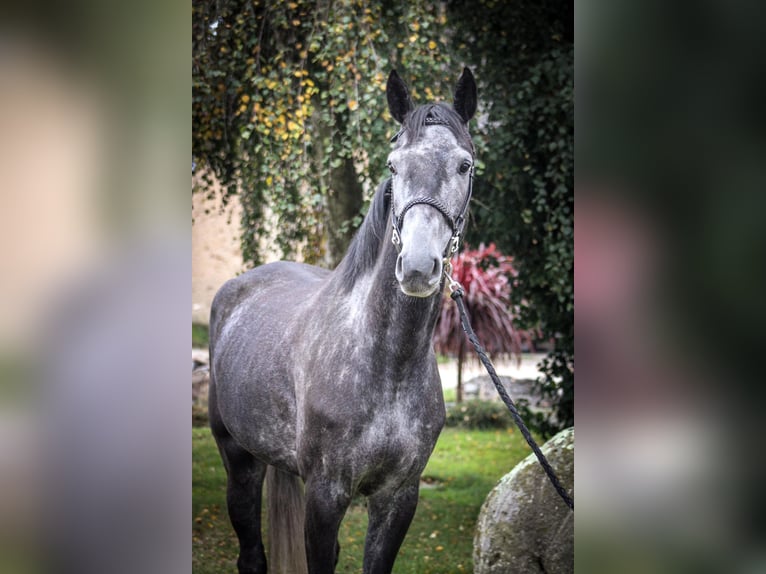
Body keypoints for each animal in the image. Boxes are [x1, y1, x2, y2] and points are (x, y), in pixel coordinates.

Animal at [207, 68, 476, 574]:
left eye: (464, 165)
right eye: (393, 165)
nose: (417, 267)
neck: (387, 365)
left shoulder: (398, 498)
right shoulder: (325, 496)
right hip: (239, 460)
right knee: (251, 553)